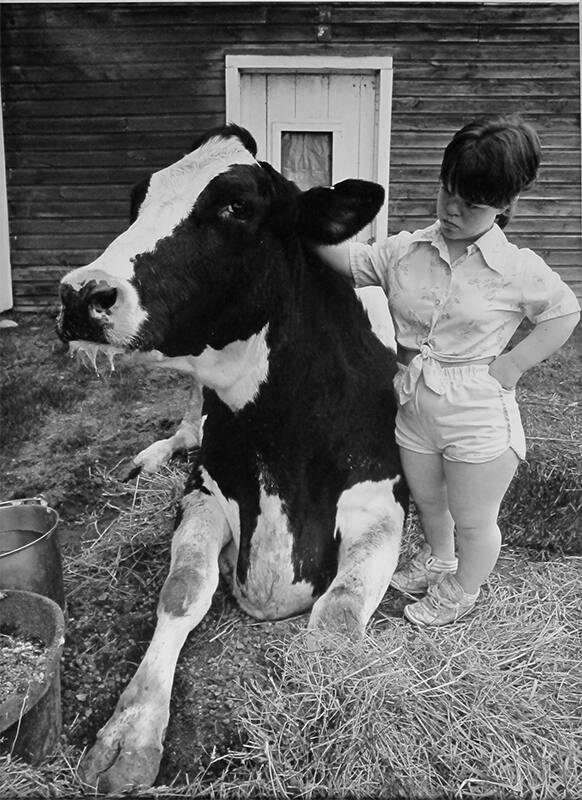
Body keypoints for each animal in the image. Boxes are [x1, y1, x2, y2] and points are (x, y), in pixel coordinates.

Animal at [57, 124, 407, 793]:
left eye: (235, 207)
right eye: (136, 200)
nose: (80, 293)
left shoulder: (382, 501)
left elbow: (337, 616)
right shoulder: (204, 491)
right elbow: (182, 590)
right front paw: (129, 734)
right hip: (195, 407)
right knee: (185, 429)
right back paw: (144, 458)